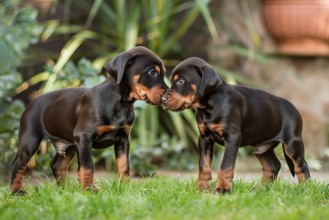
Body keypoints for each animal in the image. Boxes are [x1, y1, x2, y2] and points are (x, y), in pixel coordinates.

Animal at [9, 46, 168, 194]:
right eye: (152, 72)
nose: (166, 96)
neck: (121, 103)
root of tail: (30, 103)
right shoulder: (84, 137)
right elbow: (88, 167)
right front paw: (88, 189)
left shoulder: (123, 138)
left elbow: (124, 165)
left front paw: (126, 188)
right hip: (31, 139)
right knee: (17, 164)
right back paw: (17, 191)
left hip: (70, 144)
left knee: (57, 164)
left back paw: (64, 190)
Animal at [161, 57, 310, 193]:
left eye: (181, 81)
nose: (162, 99)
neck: (209, 106)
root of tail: (295, 108)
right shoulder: (204, 139)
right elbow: (203, 166)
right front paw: (202, 189)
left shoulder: (232, 137)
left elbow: (225, 166)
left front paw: (222, 189)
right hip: (262, 147)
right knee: (272, 165)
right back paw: (262, 189)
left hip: (292, 143)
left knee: (301, 166)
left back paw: (304, 190)